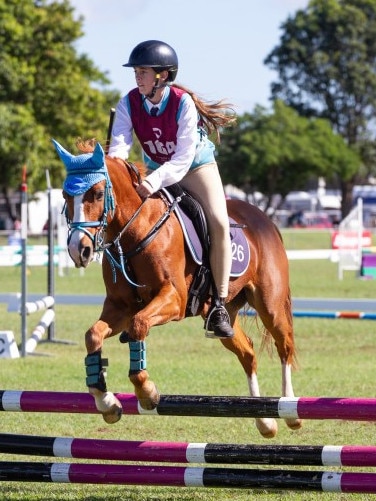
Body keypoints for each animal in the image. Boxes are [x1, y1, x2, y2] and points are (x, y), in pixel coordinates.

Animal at [53, 139, 302, 436]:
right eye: (66, 196)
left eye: (98, 193)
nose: (78, 250)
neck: (137, 231)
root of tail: (265, 219)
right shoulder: (120, 307)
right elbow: (94, 335)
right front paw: (107, 402)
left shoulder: (174, 299)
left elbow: (138, 325)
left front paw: (147, 392)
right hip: (224, 315)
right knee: (248, 352)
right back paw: (265, 422)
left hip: (269, 304)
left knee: (284, 346)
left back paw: (290, 411)